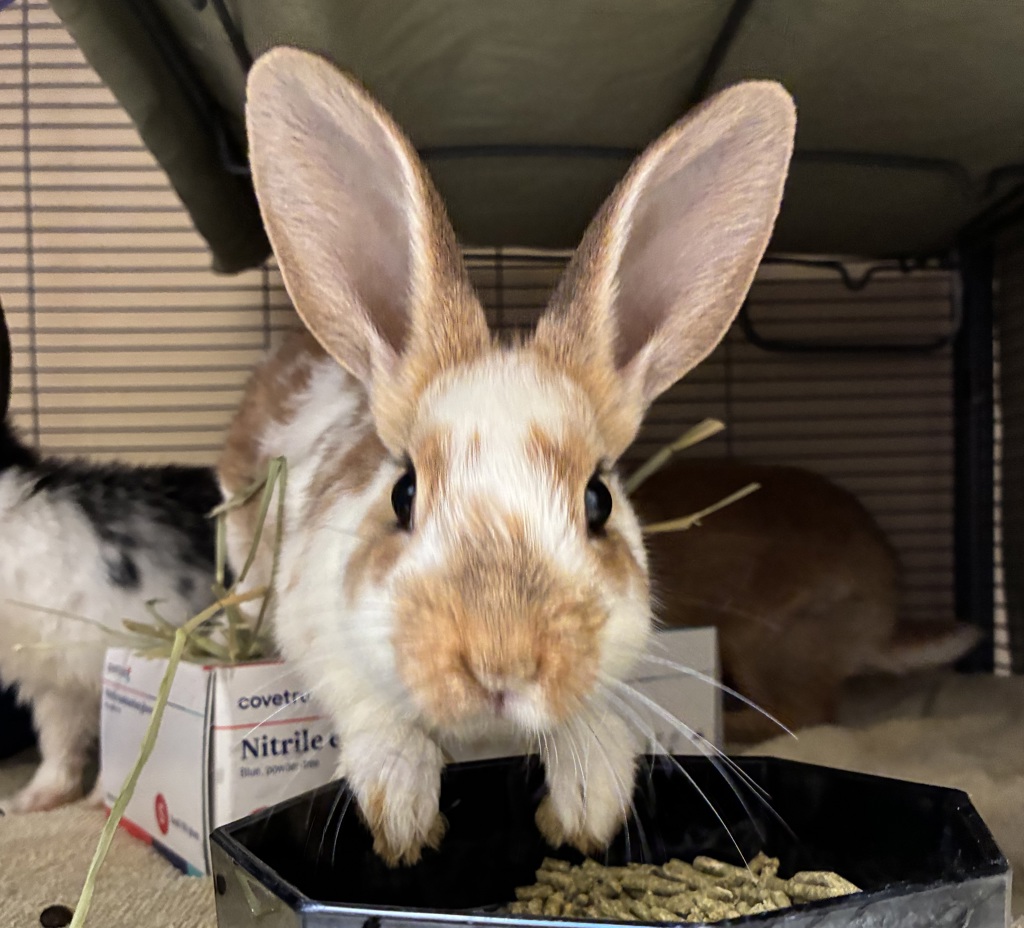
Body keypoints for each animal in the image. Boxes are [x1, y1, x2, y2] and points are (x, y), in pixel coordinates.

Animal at [218, 47, 795, 867]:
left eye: (598, 501)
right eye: (402, 493)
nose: (502, 663)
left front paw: (588, 803)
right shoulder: (315, 622)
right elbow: (371, 710)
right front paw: (402, 818)